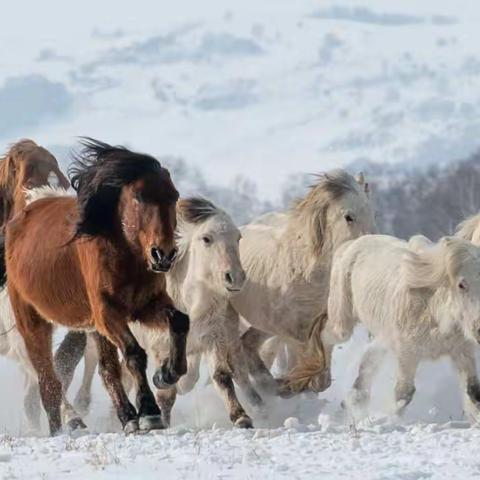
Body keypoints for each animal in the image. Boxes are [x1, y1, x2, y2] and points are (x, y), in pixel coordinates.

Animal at [5, 138, 190, 436]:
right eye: (139, 197)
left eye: (173, 196)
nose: (163, 255)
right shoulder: (107, 312)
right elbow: (134, 353)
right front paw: (150, 412)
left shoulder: (146, 305)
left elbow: (180, 320)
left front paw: (166, 374)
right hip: (32, 323)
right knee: (48, 382)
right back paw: (61, 429)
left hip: (93, 328)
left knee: (105, 370)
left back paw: (127, 417)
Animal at [227, 171, 376, 396]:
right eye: (348, 217)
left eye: (371, 214)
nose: (366, 253)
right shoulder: (291, 330)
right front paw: (290, 384)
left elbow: (322, 372)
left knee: (252, 348)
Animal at [324, 234, 480, 422]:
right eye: (461, 285)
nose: (479, 330)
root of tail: (352, 243)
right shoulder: (407, 352)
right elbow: (404, 394)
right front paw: (393, 421)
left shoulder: (463, 351)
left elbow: (473, 391)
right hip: (342, 321)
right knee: (326, 337)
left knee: (368, 359)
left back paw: (353, 401)